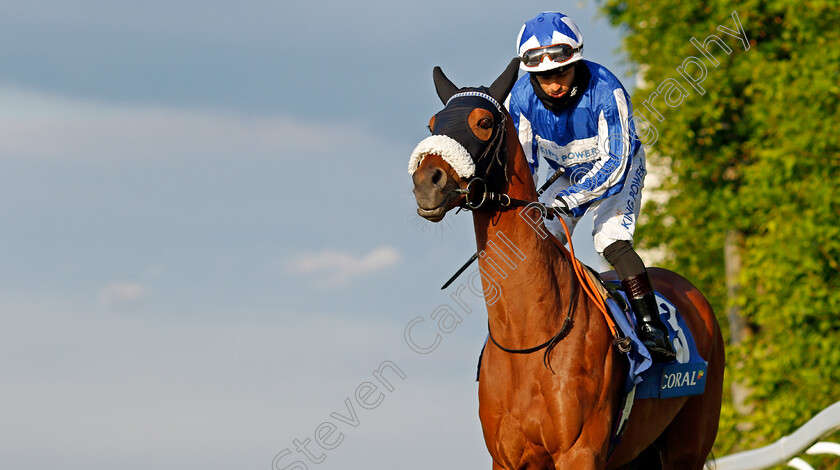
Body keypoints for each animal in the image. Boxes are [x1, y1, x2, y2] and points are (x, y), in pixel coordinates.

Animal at [410, 59, 724, 470]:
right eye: (433, 124)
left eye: (484, 122)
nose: (426, 181)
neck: (528, 340)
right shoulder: (506, 459)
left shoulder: (580, 452)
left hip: (688, 446)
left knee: (615, 242)